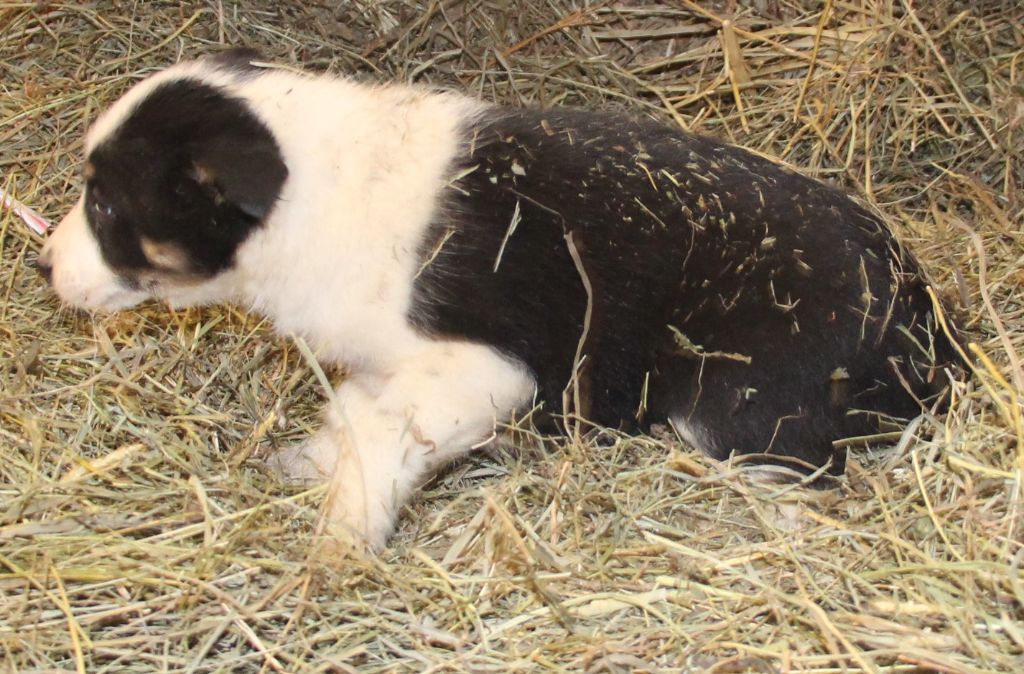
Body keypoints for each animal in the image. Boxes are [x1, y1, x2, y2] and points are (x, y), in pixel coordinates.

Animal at [34, 51, 958, 544]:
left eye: (107, 206)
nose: (42, 268)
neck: (307, 198)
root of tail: (925, 329)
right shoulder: (385, 364)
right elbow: (355, 416)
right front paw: (309, 465)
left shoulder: (486, 372)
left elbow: (386, 441)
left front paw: (341, 541)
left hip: (737, 408)